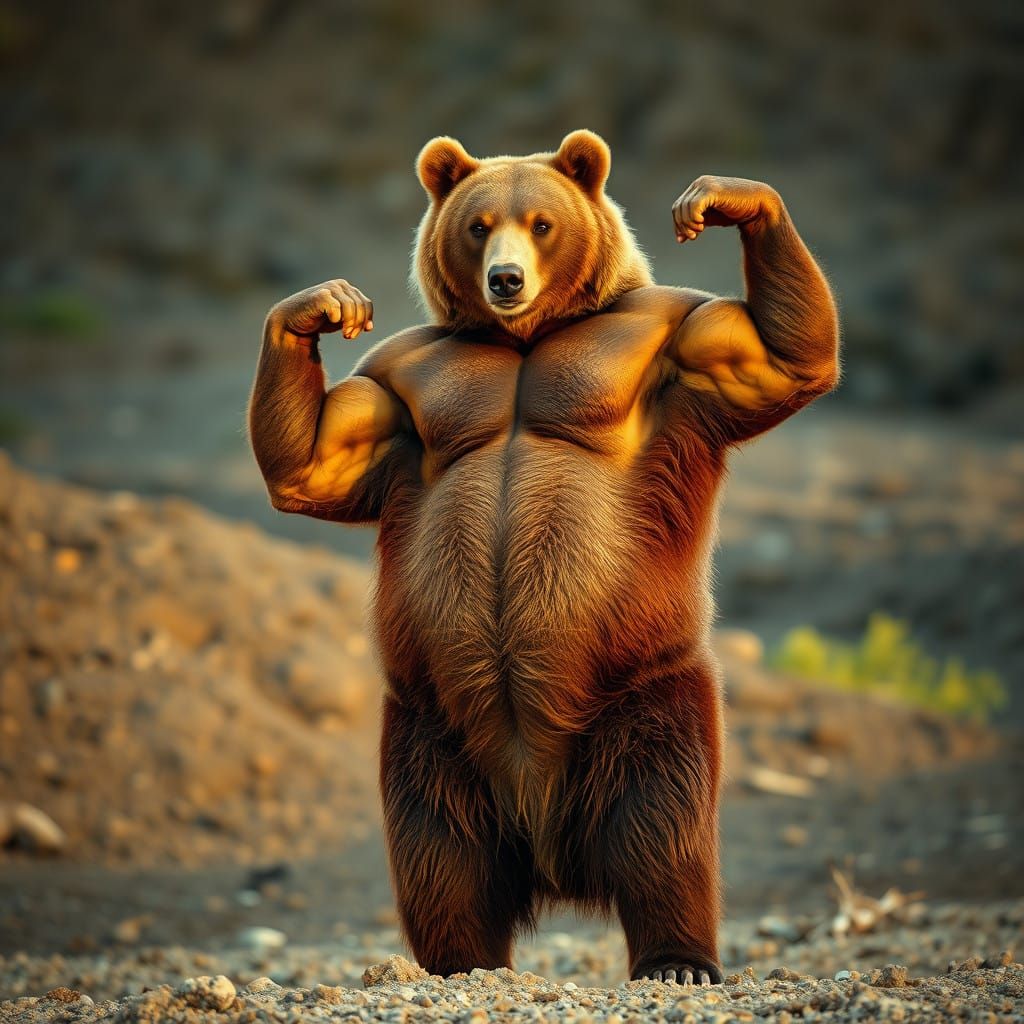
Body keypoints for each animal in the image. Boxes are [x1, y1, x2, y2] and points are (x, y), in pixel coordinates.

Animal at [248, 130, 839, 984]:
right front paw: (319, 307)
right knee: (439, 855)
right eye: (477, 225)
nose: (506, 277)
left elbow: (780, 357)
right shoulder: (399, 379)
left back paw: (678, 957)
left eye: (542, 223)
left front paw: (729, 198)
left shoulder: (669, 337)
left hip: (639, 693)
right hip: (434, 730)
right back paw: (457, 962)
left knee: (663, 827)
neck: (525, 340)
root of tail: (546, 836)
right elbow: (313, 462)